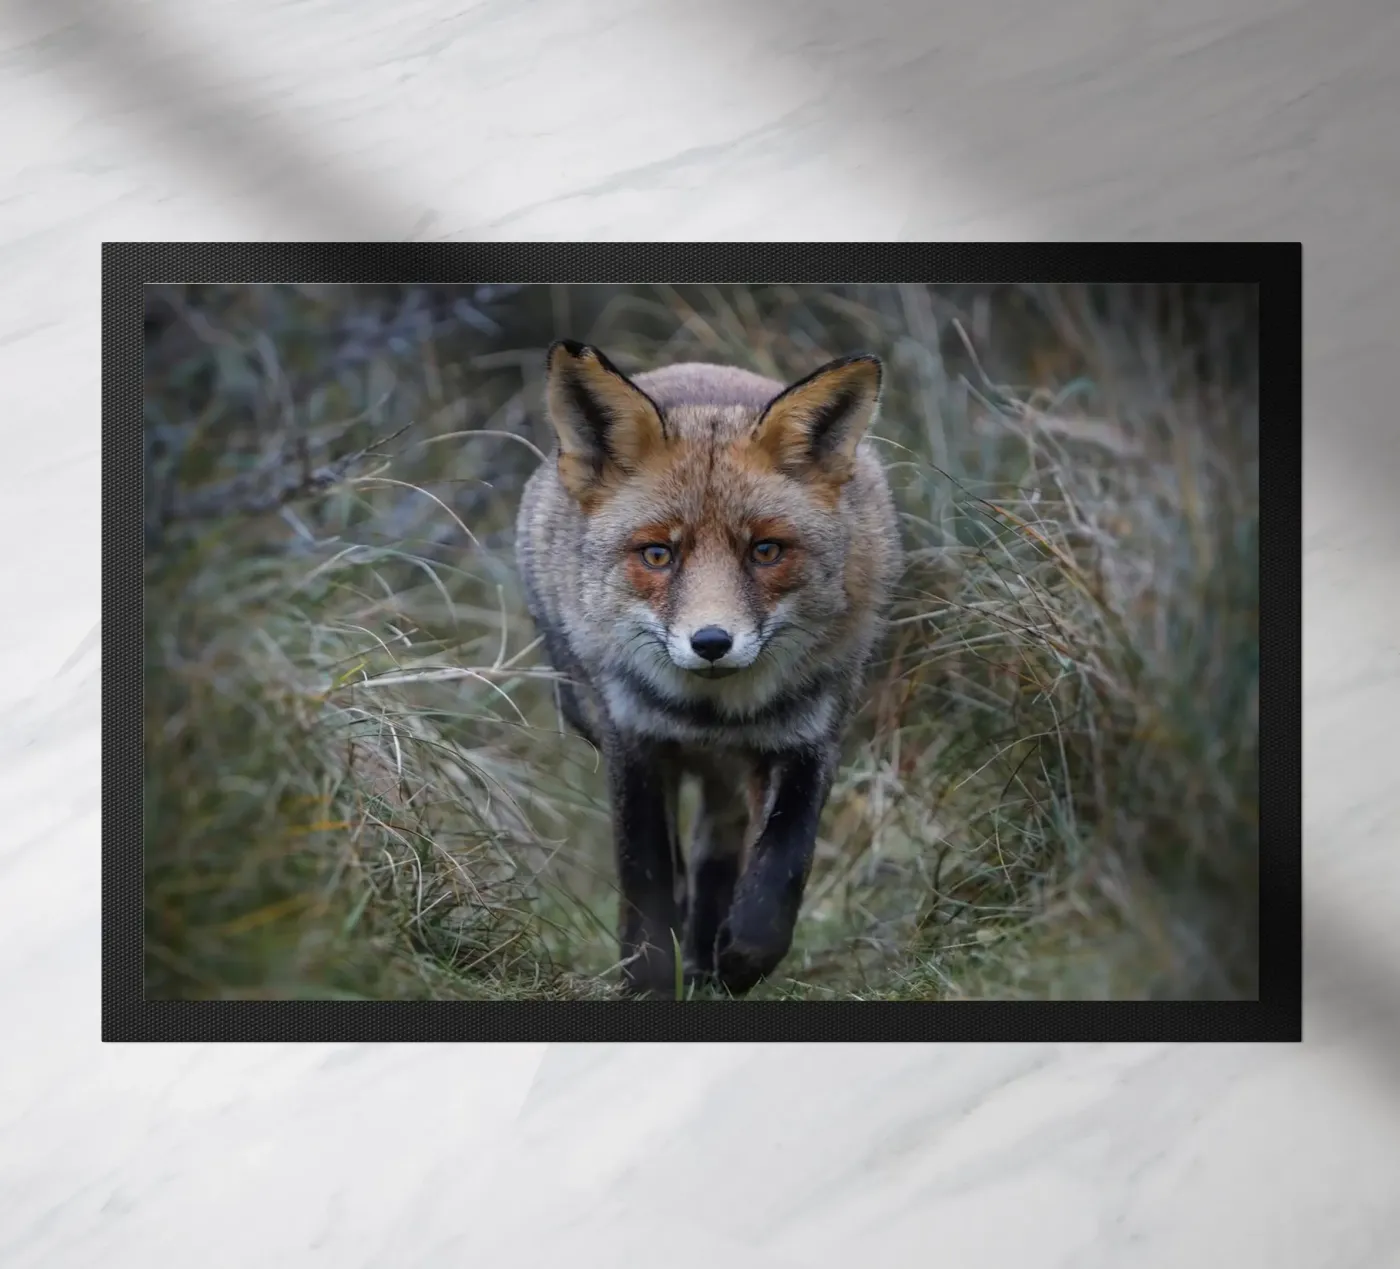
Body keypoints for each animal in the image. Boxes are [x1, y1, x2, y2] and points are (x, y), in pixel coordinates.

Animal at [515, 340, 903, 996]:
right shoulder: (634, 742)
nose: (713, 641)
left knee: (716, 851)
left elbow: (781, 870)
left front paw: (741, 958)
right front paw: (649, 979)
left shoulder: (809, 739)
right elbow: (647, 877)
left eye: (766, 550)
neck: (712, 714)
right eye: (657, 555)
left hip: (734, 776)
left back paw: (705, 957)